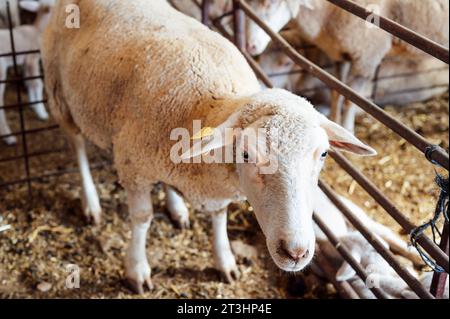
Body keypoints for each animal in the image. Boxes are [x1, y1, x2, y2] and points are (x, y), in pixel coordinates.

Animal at [0, 0, 50, 145]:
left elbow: (29, 82)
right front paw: (42, 112)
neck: (38, 30)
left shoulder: (25, 62)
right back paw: (9, 137)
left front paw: (33, 104)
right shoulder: (32, 58)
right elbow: (37, 83)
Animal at [42, 0, 376, 296]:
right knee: (77, 146)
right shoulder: (132, 166)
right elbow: (142, 218)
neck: (211, 106)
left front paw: (224, 259)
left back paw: (176, 207)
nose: (295, 252)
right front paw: (136, 269)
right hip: (59, 92)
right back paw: (91, 202)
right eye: (246, 154)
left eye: (323, 154)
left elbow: (219, 216)